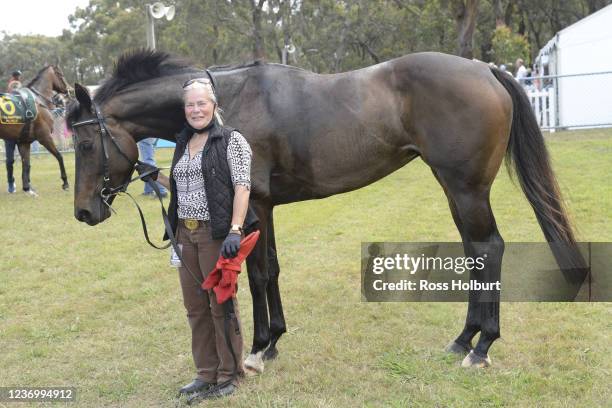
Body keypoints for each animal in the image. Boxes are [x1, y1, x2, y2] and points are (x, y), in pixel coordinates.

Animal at [0, 65, 70, 193]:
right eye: (61, 74)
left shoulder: (24, 142)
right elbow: (59, 156)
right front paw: (65, 182)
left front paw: (27, 188)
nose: (68, 90)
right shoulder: (45, 137)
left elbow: (26, 164)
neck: (38, 101)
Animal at [64, 50, 584, 372]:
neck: (223, 107)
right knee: (476, 250)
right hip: (455, 190)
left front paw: (257, 349)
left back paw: (482, 346)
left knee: (489, 248)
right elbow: (272, 270)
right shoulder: (267, 209)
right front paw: (274, 341)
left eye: (86, 143)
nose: (85, 212)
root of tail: (484, 68)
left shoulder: (251, 205)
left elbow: (255, 275)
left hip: (467, 189)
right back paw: (465, 338)